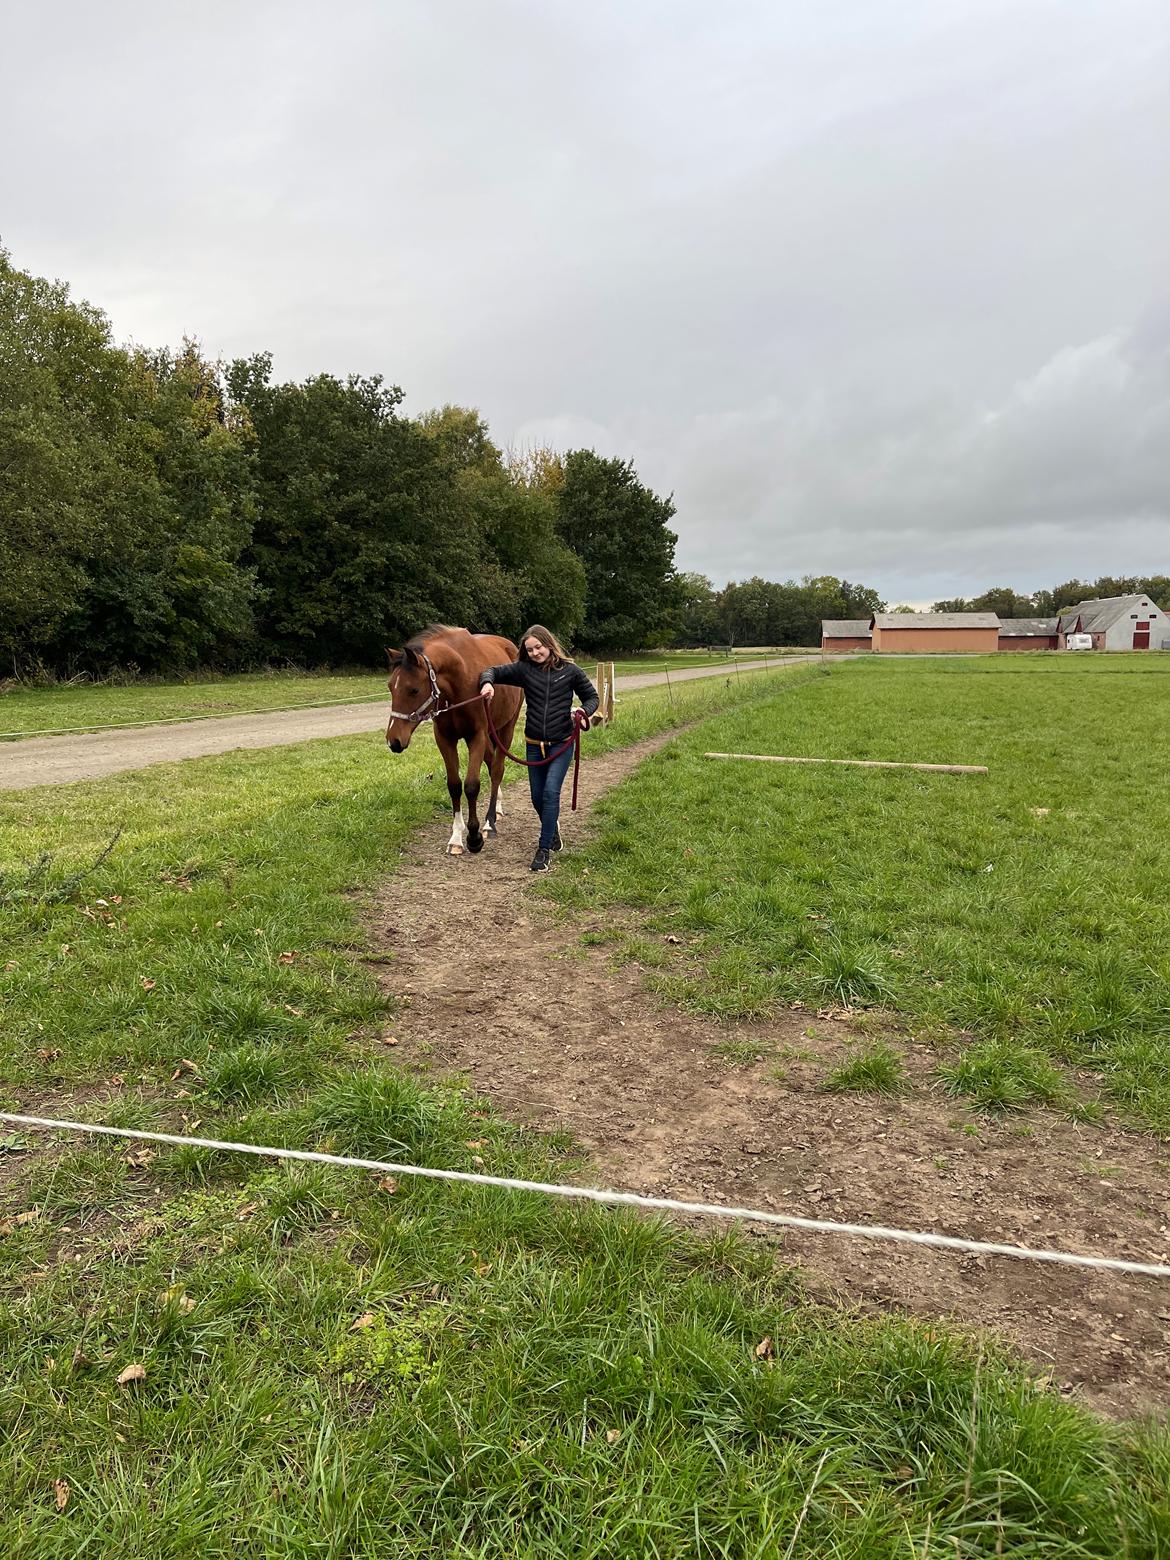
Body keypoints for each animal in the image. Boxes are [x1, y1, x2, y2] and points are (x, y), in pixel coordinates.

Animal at [385, 627, 521, 861]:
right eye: (390, 688)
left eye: (413, 690)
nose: (394, 740)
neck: (461, 680)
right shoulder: (445, 739)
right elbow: (454, 785)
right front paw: (457, 837)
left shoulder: (477, 736)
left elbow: (472, 785)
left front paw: (474, 838)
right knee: (491, 763)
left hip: (506, 729)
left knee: (497, 771)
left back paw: (490, 822)